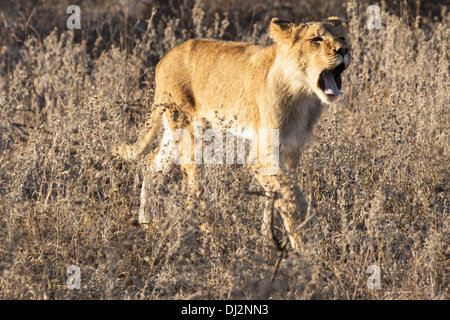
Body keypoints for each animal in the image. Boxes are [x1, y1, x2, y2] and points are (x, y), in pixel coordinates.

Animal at [114, 16, 350, 252]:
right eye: (316, 39)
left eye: (342, 37)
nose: (344, 50)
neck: (302, 94)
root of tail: (164, 58)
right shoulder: (263, 154)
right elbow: (293, 195)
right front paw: (309, 244)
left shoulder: (290, 149)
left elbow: (279, 195)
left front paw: (269, 237)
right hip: (190, 131)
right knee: (195, 184)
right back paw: (213, 235)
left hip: (175, 131)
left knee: (151, 164)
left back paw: (147, 221)